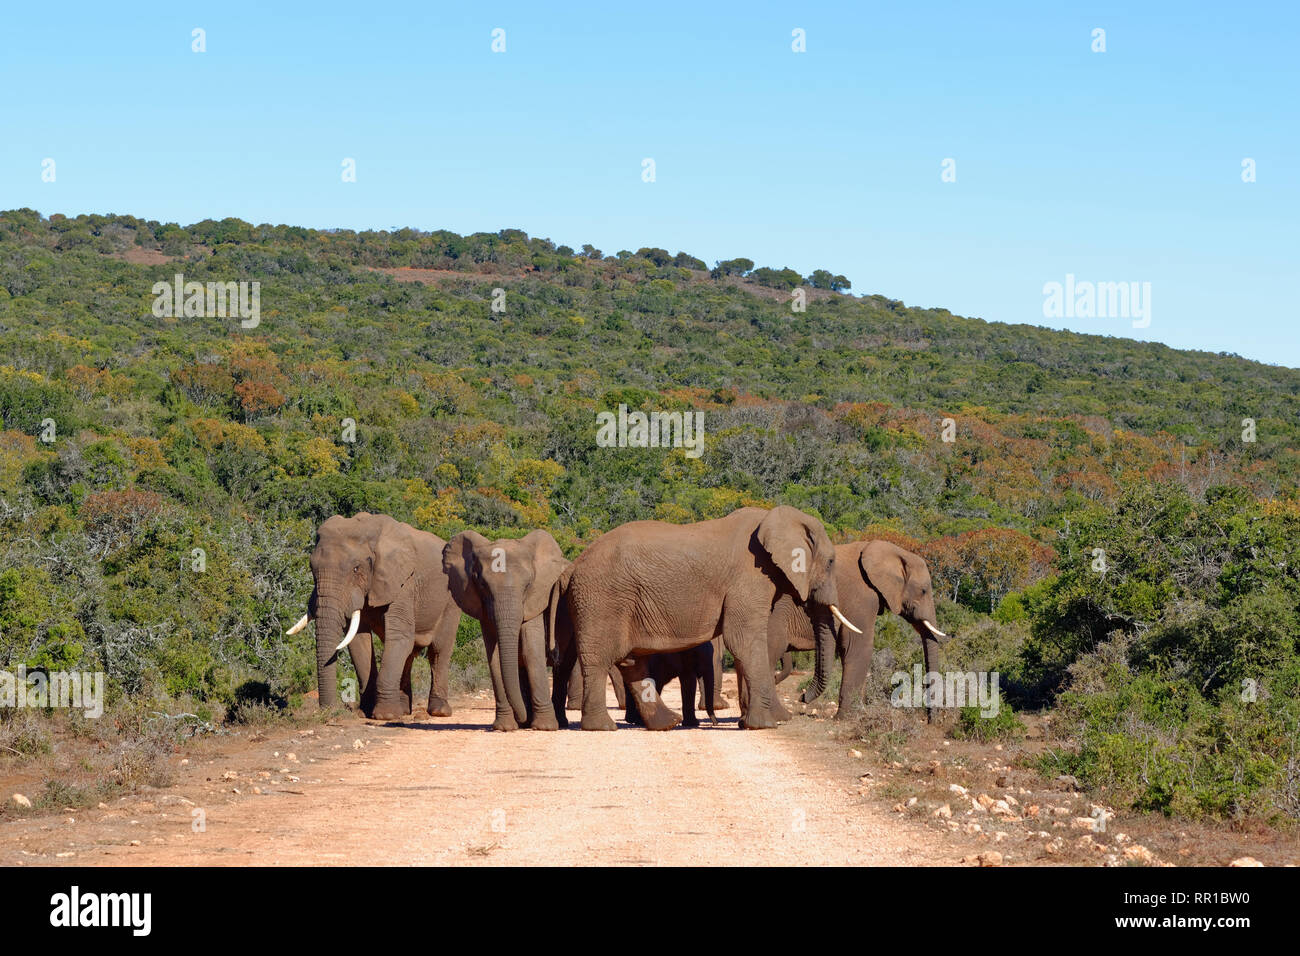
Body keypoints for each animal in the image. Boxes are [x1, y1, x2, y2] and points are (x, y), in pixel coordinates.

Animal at [286, 512, 461, 721]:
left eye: (356, 569)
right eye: (312, 568)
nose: (328, 713)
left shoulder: (403, 583)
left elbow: (400, 637)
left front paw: (386, 715)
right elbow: (359, 641)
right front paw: (365, 713)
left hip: (451, 601)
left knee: (438, 650)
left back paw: (438, 711)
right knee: (409, 653)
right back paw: (404, 710)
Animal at [442, 529, 571, 732]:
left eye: (528, 585)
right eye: (482, 585)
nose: (521, 718)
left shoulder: (535, 600)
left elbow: (530, 652)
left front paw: (545, 727)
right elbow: (494, 658)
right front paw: (505, 727)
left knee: (563, 667)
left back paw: (555, 722)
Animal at [552, 505, 856, 731]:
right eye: (831, 562)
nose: (803, 698)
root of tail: (572, 568)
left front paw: (748, 724)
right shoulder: (747, 579)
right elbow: (743, 640)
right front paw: (764, 725)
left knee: (628, 662)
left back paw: (666, 724)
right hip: (602, 599)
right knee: (600, 659)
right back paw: (602, 727)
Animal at [767, 539, 948, 720]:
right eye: (923, 591)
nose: (802, 697)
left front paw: (859, 713)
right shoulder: (863, 597)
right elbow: (858, 647)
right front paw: (847, 718)